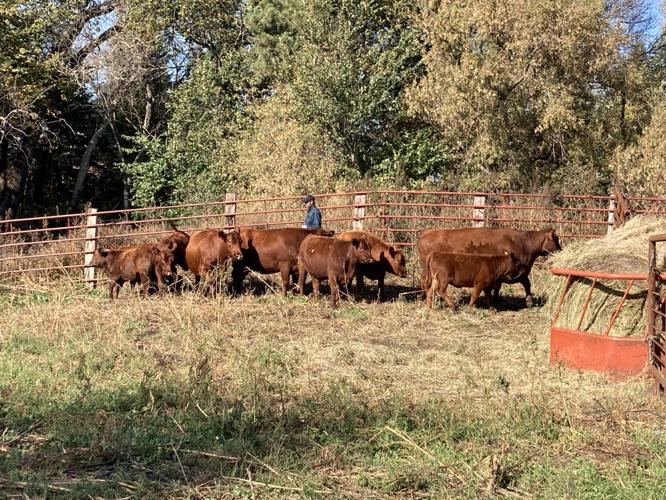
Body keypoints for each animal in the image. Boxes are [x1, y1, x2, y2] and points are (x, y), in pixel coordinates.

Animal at [417, 228, 561, 307]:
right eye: (556, 239)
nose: (561, 250)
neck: (523, 243)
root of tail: (426, 232)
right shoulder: (517, 272)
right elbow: (526, 284)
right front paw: (529, 301)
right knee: (427, 283)